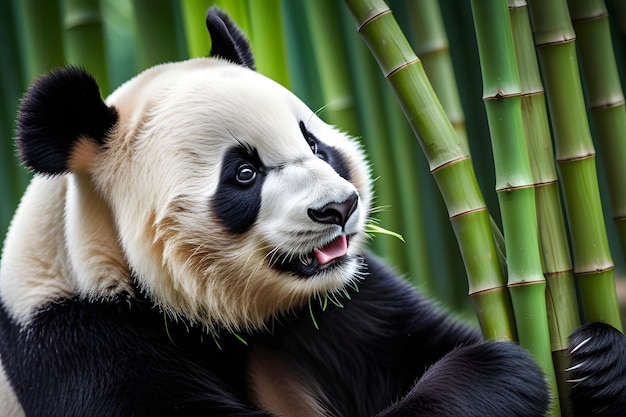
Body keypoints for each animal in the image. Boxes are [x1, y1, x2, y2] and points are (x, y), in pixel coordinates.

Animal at [0, 6, 620, 416]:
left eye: (316, 145)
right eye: (243, 174)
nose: (338, 208)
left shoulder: (346, 305)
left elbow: (420, 338)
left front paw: (596, 360)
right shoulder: (80, 342)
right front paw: (496, 369)